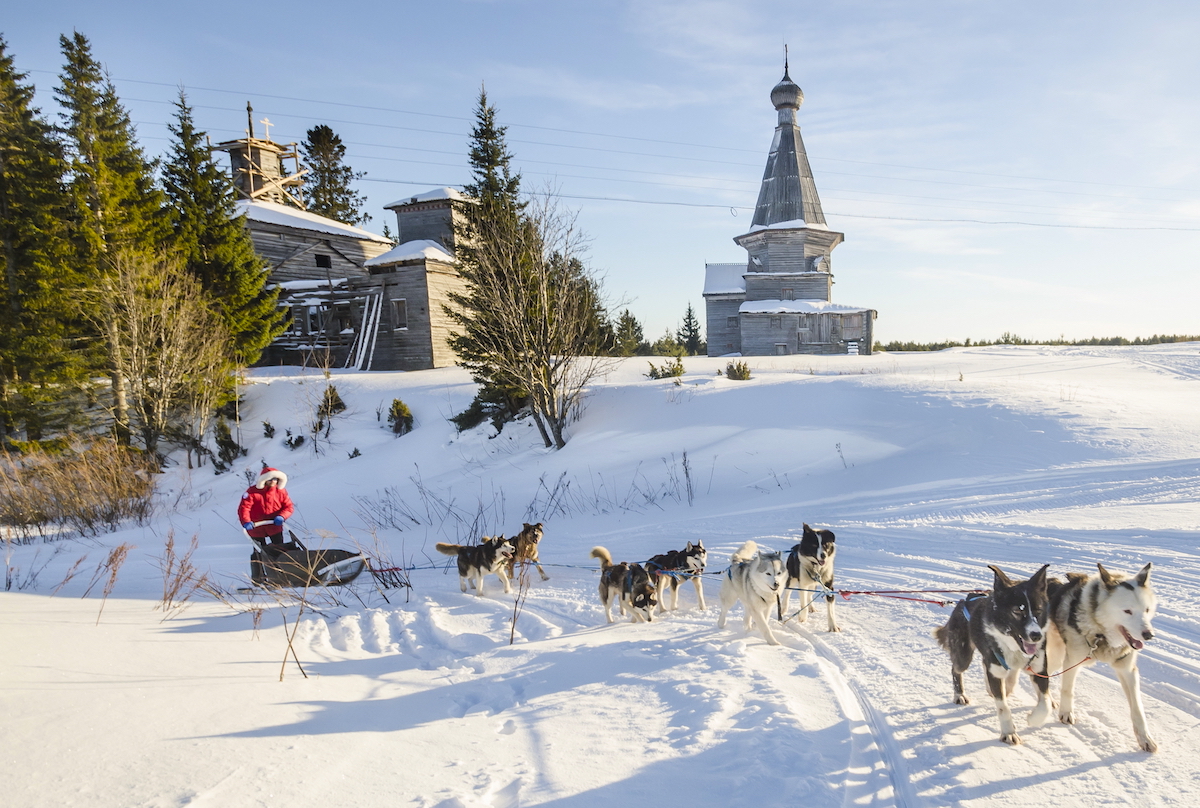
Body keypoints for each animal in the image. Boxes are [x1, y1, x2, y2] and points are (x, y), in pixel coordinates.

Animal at [936, 561, 1051, 744]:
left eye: (1039, 610)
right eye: (1017, 611)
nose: (1036, 635)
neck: (1012, 646)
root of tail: (962, 602)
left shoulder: (1039, 670)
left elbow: (1045, 703)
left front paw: (1034, 719)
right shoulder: (996, 672)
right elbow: (1003, 707)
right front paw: (1009, 732)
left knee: (986, 665)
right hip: (963, 656)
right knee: (956, 669)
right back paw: (959, 694)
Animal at [1046, 561, 1156, 749]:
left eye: (1146, 610)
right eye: (1127, 611)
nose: (1149, 634)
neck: (1101, 634)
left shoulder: (1127, 670)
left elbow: (1137, 708)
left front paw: (1145, 738)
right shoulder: (1072, 661)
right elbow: (1068, 689)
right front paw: (1066, 713)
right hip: (1056, 656)